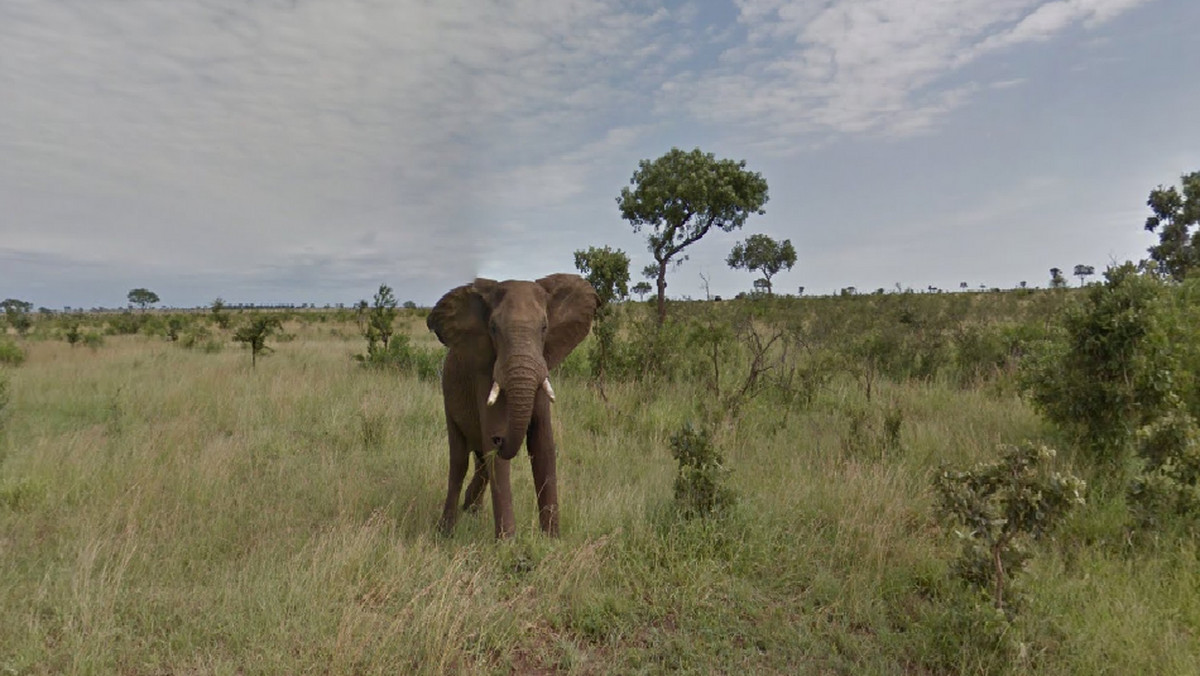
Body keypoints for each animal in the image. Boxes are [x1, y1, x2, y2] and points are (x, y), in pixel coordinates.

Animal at [432, 274, 600, 540]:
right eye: (493, 328)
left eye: (544, 328)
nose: (500, 438)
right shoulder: (484, 373)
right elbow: (497, 457)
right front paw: (508, 543)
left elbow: (543, 446)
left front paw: (551, 540)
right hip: (448, 396)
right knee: (459, 461)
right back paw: (446, 531)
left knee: (481, 462)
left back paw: (472, 511)